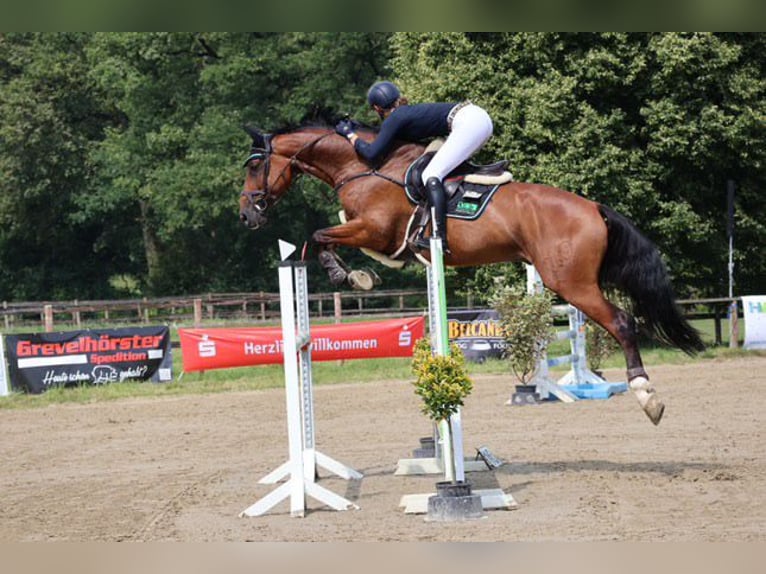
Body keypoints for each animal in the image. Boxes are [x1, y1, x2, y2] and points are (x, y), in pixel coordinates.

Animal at [242, 124, 708, 426]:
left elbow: (316, 237)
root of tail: (594, 207)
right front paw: (360, 275)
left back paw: (647, 395)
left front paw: (350, 277)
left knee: (623, 322)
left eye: (252, 166)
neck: (365, 166)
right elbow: (328, 237)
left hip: (572, 284)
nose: (247, 215)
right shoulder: (381, 239)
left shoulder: (375, 229)